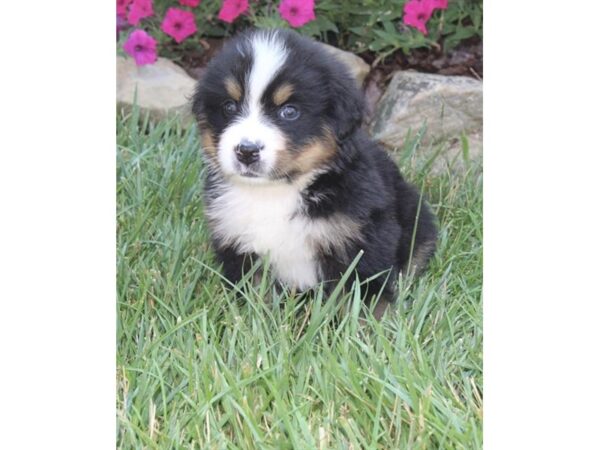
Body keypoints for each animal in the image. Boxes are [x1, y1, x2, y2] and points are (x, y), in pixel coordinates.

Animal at [192, 29, 436, 316]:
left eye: (289, 111)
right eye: (229, 106)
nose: (247, 151)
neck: (276, 191)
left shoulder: (361, 239)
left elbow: (363, 297)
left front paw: (368, 325)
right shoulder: (238, 242)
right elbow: (254, 295)